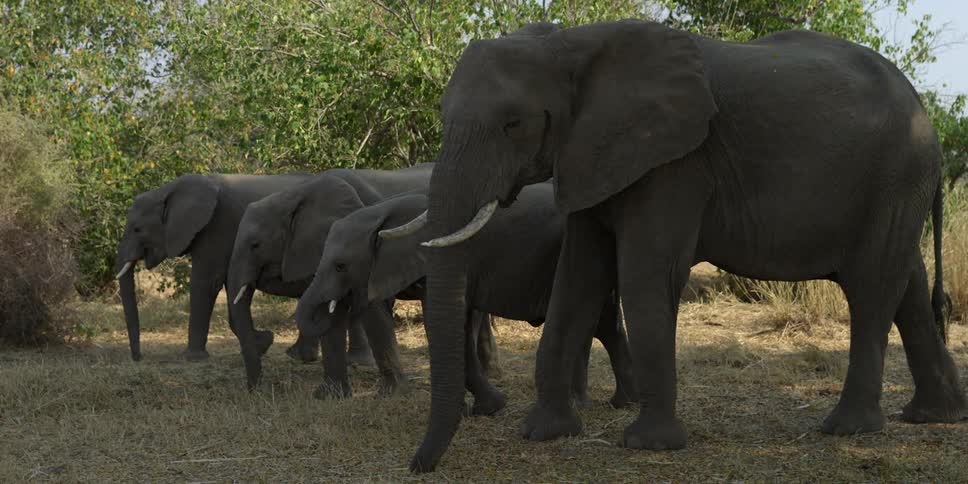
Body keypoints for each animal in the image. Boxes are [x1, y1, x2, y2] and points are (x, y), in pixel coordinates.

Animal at [113, 173, 368, 362]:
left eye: (137, 229)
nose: (138, 358)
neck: (169, 189)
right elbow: (231, 285)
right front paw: (262, 343)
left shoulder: (217, 226)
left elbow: (208, 281)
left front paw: (193, 358)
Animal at [299, 182, 634, 415]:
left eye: (340, 266)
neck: (385, 212)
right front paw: (481, 408)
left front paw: (486, 408)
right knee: (602, 326)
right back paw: (612, 403)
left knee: (599, 325)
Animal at [385, 20, 966, 472]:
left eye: (512, 124)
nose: (418, 467)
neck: (573, 44)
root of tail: (927, 113)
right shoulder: (593, 156)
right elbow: (577, 279)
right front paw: (544, 433)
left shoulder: (676, 163)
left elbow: (647, 274)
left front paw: (650, 446)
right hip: (898, 186)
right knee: (907, 284)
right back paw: (932, 416)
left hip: (895, 175)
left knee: (872, 288)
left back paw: (848, 429)